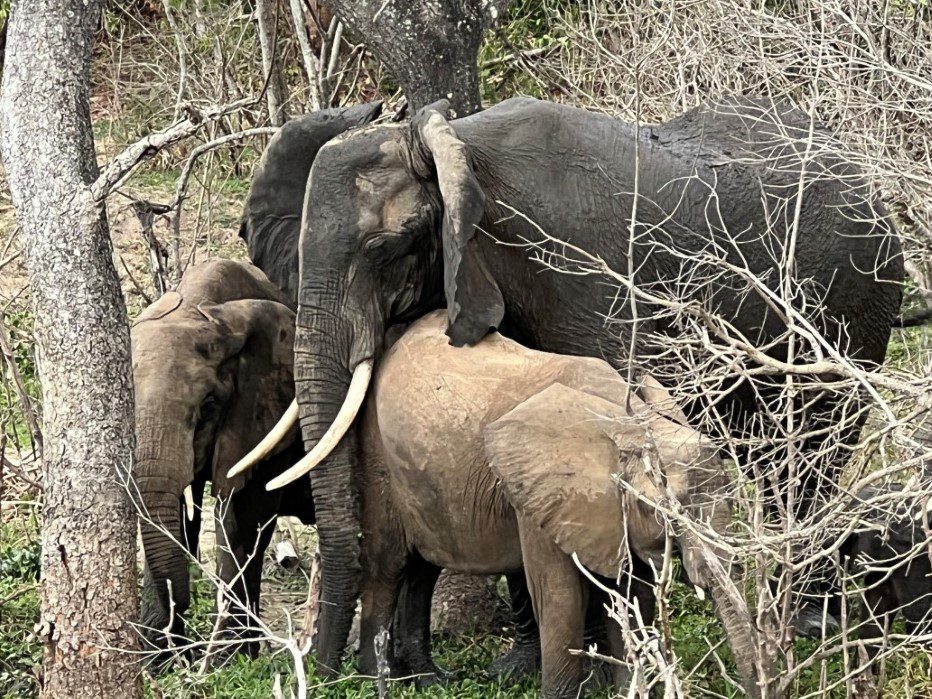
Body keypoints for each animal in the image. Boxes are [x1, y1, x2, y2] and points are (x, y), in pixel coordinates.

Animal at [132, 259, 308, 660]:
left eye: (208, 407)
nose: (182, 602)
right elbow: (180, 514)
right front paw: (160, 664)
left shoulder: (268, 421)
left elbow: (243, 514)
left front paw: (230, 662)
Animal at [347, 311, 762, 699]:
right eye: (658, 510)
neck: (622, 420)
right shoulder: (539, 497)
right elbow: (561, 598)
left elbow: (628, 593)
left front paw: (626, 690)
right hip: (377, 455)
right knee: (388, 564)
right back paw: (378, 680)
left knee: (422, 568)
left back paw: (427, 679)